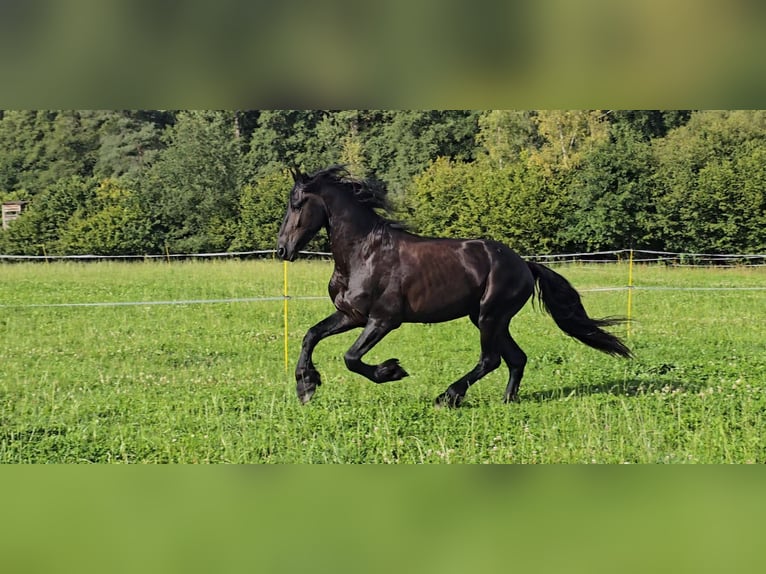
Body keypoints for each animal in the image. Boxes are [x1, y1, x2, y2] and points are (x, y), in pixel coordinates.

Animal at [276, 165, 632, 407]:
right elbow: (311, 335)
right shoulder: (351, 315)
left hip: (490, 316)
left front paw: (392, 371)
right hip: (488, 318)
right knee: (516, 358)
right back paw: (507, 400)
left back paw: (448, 396)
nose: (282, 250)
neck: (364, 252)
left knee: (491, 360)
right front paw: (306, 386)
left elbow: (351, 358)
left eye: (297, 203)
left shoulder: (383, 320)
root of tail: (523, 264)